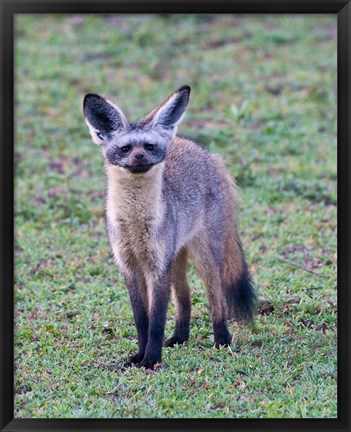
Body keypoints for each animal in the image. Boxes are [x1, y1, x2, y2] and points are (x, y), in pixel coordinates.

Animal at [84, 86, 258, 370]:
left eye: (149, 146)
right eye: (125, 148)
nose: (139, 156)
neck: (136, 223)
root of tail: (208, 155)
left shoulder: (158, 268)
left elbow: (156, 322)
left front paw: (151, 359)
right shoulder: (130, 267)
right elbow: (142, 321)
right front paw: (140, 355)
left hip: (205, 258)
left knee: (216, 298)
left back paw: (223, 340)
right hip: (176, 259)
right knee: (185, 298)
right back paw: (179, 337)